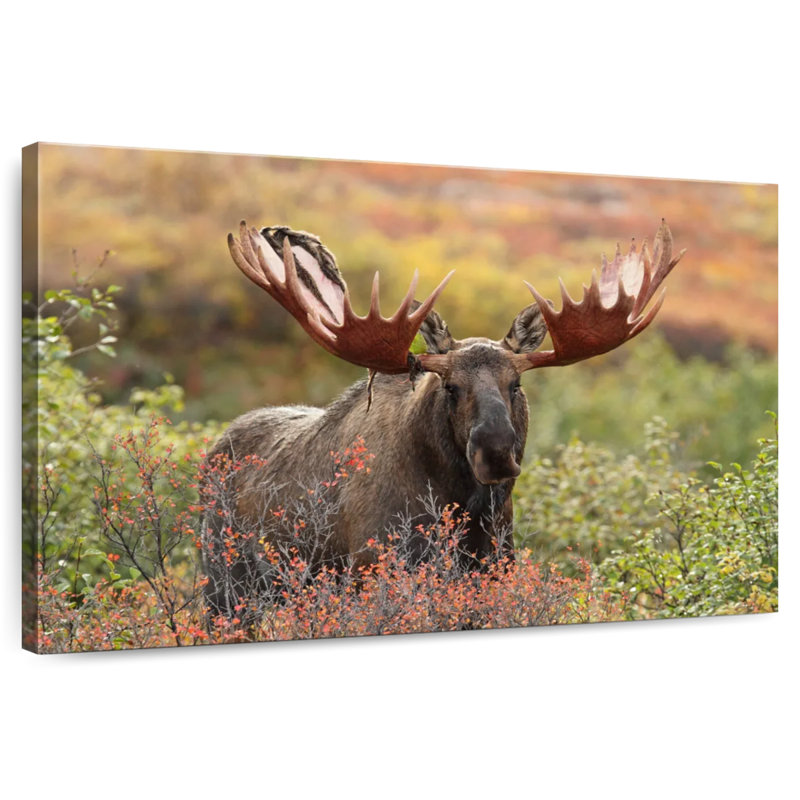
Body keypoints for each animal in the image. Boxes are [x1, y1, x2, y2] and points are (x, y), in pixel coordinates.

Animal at [201, 220, 684, 619]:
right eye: (450, 387)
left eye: (516, 384)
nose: (496, 452)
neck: (466, 511)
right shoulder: (371, 575)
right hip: (222, 588)